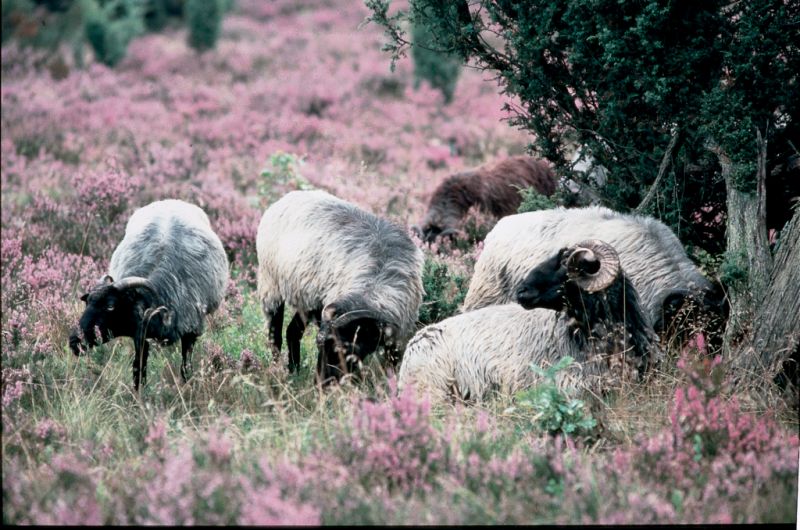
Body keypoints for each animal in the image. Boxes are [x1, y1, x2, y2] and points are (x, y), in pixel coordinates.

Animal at [68, 198, 228, 388]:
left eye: (110, 306)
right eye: (87, 301)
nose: (74, 341)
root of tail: (170, 200)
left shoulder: (191, 332)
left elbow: (186, 368)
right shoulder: (141, 336)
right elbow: (139, 370)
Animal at [260, 188, 428, 382]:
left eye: (348, 350)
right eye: (321, 347)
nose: (321, 384)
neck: (375, 282)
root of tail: (290, 196)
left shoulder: (395, 339)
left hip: (307, 300)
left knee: (292, 332)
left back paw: (294, 370)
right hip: (270, 285)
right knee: (275, 335)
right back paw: (278, 371)